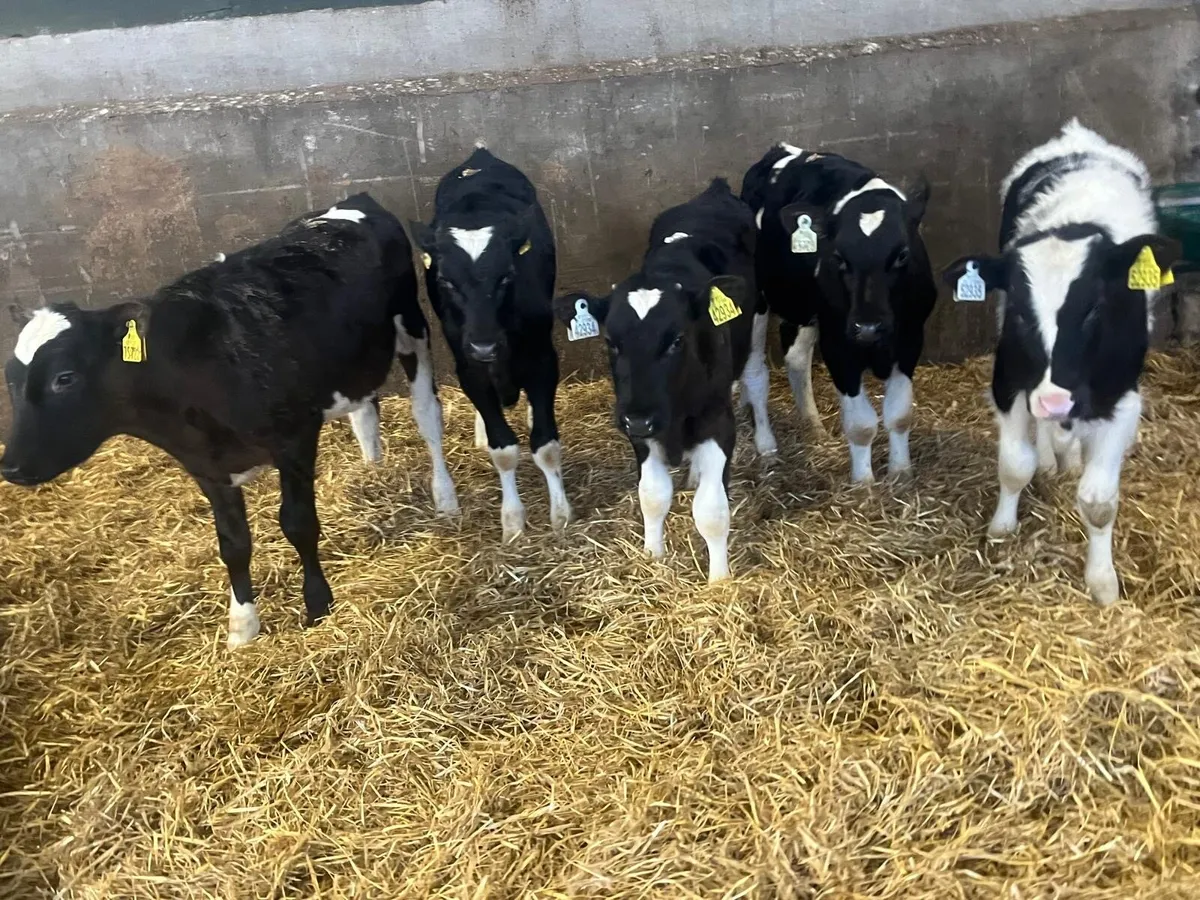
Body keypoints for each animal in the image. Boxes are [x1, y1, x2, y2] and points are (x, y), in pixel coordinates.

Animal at [1, 193, 459, 647]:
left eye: (64, 377)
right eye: (11, 378)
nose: (11, 466)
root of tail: (353, 200)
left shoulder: (295, 439)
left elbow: (298, 523)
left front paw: (317, 604)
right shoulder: (207, 467)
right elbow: (233, 543)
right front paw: (242, 626)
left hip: (412, 326)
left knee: (427, 416)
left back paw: (445, 497)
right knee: (364, 408)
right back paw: (372, 466)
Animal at [409, 146, 572, 542]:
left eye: (507, 276)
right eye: (446, 281)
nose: (484, 345)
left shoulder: (542, 358)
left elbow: (546, 446)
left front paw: (560, 514)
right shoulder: (468, 367)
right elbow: (503, 450)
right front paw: (512, 520)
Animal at [552, 178, 777, 582]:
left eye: (676, 340)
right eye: (611, 342)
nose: (640, 418)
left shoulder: (717, 421)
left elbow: (711, 511)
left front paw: (719, 580)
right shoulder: (639, 429)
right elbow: (653, 496)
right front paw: (652, 555)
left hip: (759, 316)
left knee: (755, 377)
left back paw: (767, 444)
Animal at [742, 143, 937, 484]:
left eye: (902, 254)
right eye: (838, 257)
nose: (868, 327)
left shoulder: (911, 339)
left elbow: (900, 414)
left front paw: (901, 474)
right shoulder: (838, 345)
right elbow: (861, 425)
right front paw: (864, 484)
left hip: (804, 306)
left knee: (796, 357)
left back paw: (813, 427)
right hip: (759, 300)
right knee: (755, 374)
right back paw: (766, 447)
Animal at [942, 119, 1180, 605]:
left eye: (1094, 309)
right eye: (1018, 309)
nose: (1054, 400)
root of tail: (1078, 137)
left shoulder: (1122, 399)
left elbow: (1099, 502)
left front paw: (1102, 582)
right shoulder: (1009, 380)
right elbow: (1015, 464)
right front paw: (1001, 529)